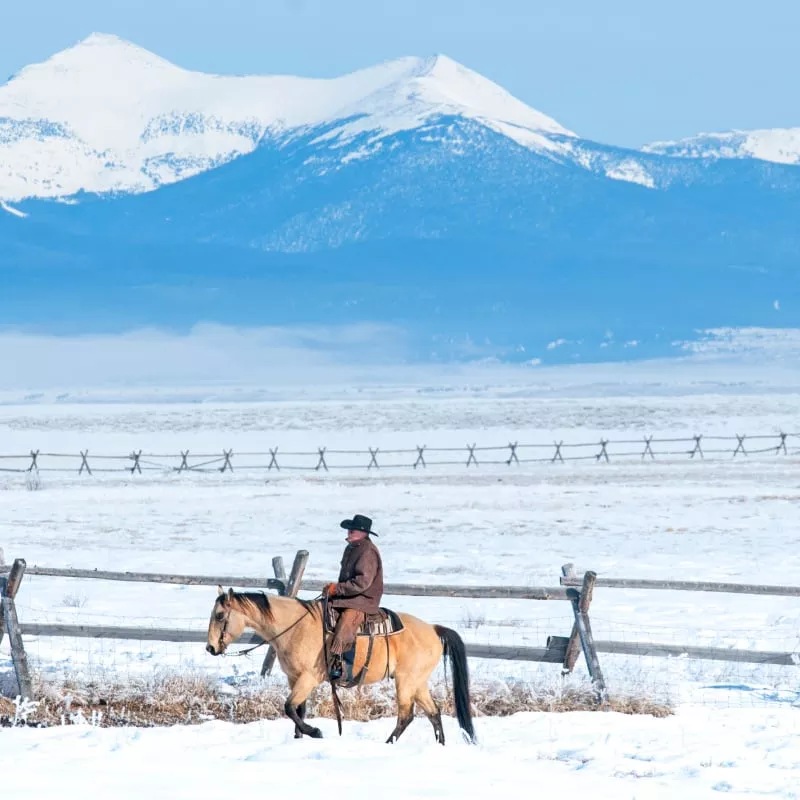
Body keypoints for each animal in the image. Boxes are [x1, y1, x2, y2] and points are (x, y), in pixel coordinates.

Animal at [206, 588, 476, 744]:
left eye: (219, 616)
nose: (210, 648)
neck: (295, 627)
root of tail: (433, 629)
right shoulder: (294, 678)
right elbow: (298, 709)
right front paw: (299, 738)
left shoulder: (308, 678)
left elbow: (289, 707)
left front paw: (315, 732)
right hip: (418, 682)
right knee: (434, 712)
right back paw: (440, 745)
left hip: (406, 681)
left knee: (406, 715)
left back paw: (388, 744)